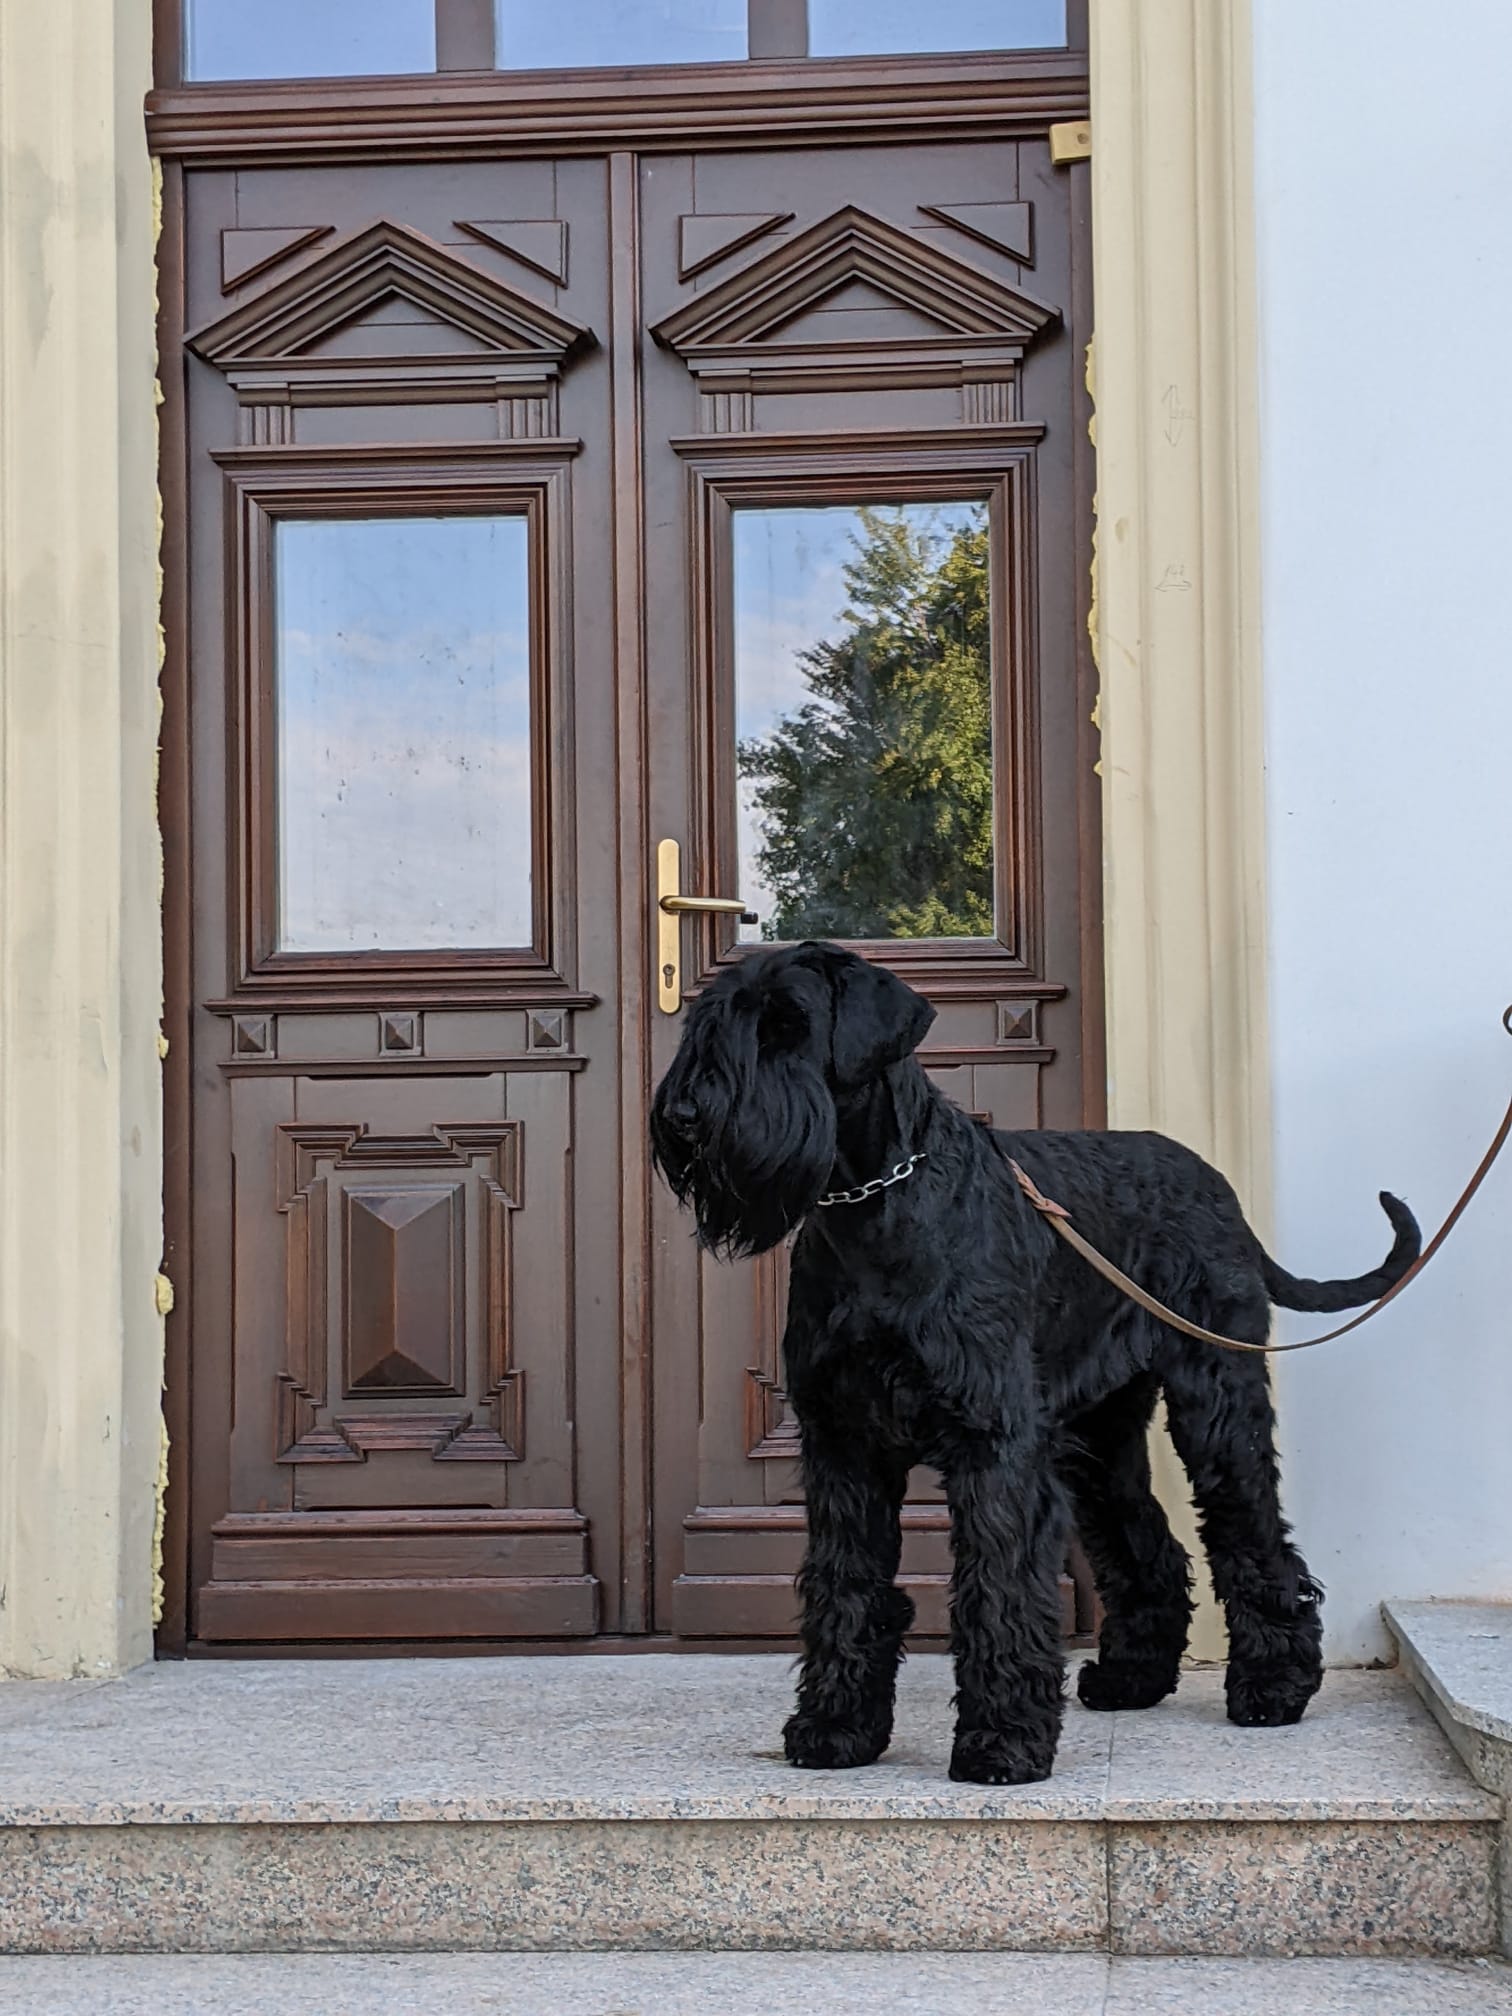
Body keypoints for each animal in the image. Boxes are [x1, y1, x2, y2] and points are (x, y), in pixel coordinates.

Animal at [651, 941, 1420, 1785]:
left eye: (788, 1024)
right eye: (711, 1020)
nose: (686, 1117)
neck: (874, 1203)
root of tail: (1221, 1190)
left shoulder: (995, 1444)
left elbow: (999, 1589)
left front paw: (1002, 1742)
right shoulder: (843, 1447)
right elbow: (844, 1585)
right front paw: (836, 1727)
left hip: (1216, 1402)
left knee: (1248, 1527)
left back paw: (1275, 1685)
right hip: (1098, 1434)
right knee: (1146, 1542)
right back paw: (1130, 1677)